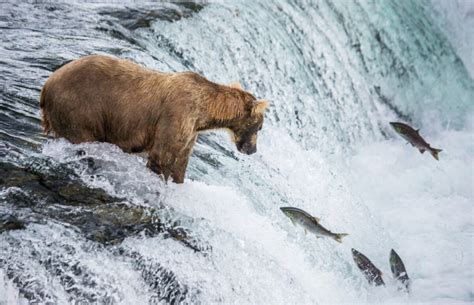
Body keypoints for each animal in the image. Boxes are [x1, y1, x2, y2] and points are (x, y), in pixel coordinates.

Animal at [39, 54, 266, 183]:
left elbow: (180, 163)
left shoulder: (190, 132)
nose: (252, 150)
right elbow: (162, 156)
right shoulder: (177, 114)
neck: (205, 112)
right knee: (83, 139)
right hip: (80, 108)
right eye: (260, 127)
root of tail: (47, 85)